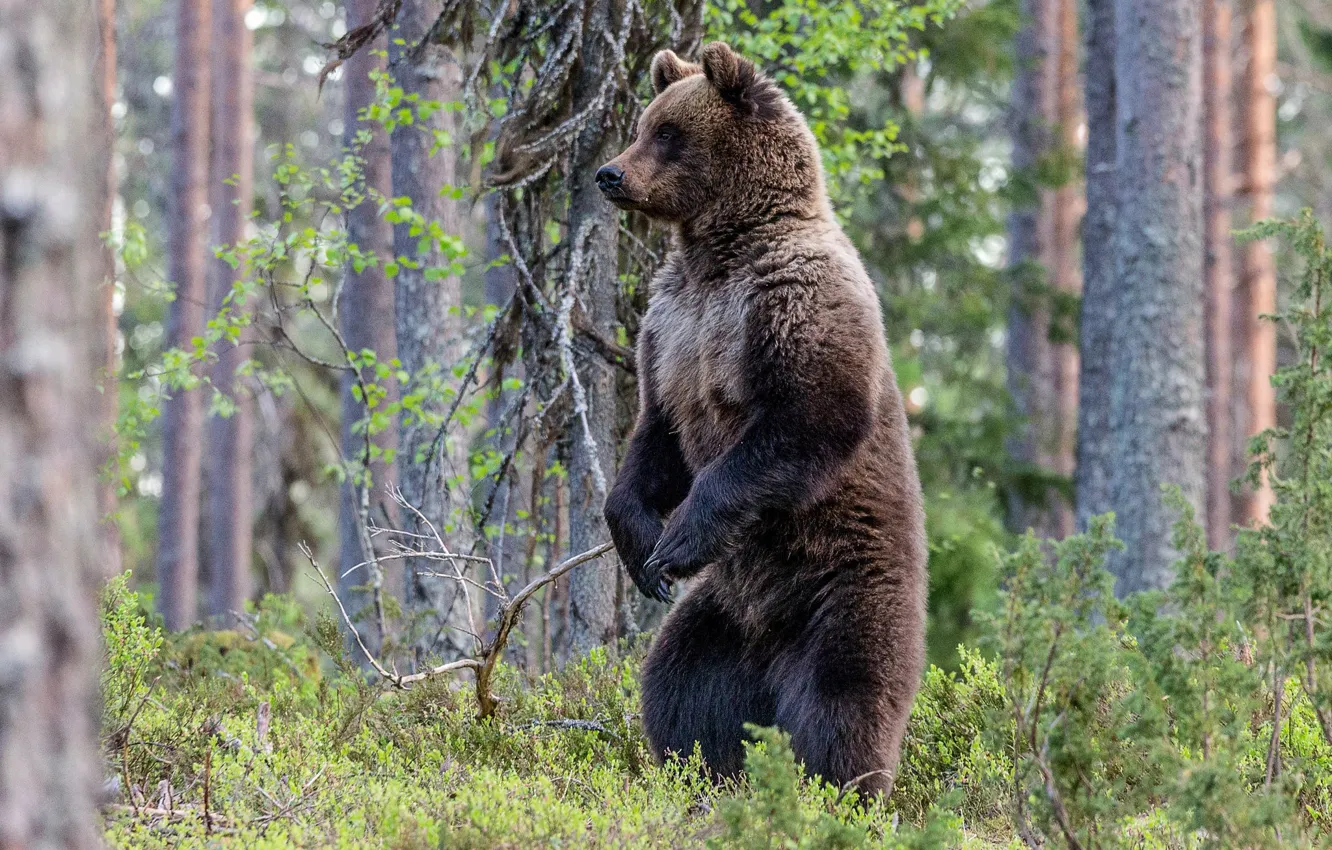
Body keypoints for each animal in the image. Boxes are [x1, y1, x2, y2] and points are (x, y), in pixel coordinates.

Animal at [597, 41, 927, 797]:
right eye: (645, 123)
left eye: (668, 133)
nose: (610, 173)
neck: (717, 254)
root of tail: (772, 651)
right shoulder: (670, 330)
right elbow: (656, 438)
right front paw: (643, 547)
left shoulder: (793, 299)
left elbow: (806, 420)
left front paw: (678, 539)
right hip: (719, 618)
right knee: (681, 689)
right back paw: (702, 771)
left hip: (842, 594)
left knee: (844, 703)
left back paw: (840, 790)